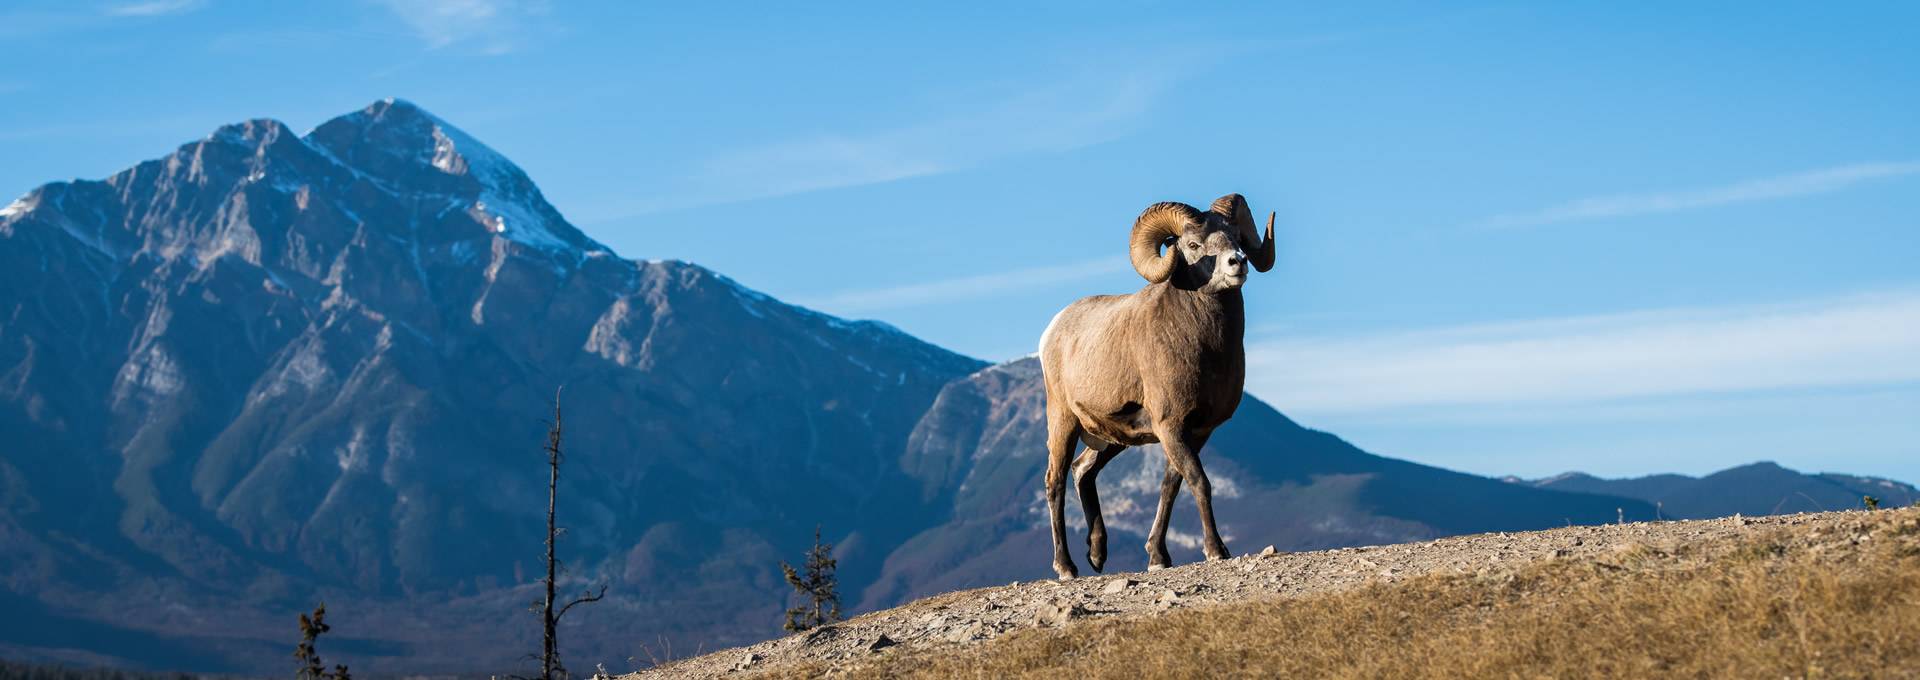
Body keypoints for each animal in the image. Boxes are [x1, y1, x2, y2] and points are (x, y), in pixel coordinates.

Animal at [1037, 193, 1276, 579]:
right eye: (1193, 245)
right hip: (1064, 422)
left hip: (1112, 439)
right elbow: (1199, 482)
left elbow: (1171, 487)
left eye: (1237, 238)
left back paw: (1097, 556)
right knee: (1055, 481)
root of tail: (1052, 331)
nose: (1237, 262)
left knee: (1083, 471)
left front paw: (1158, 557)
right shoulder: (1171, 427)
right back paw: (1067, 567)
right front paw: (1216, 551)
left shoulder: (1195, 432)